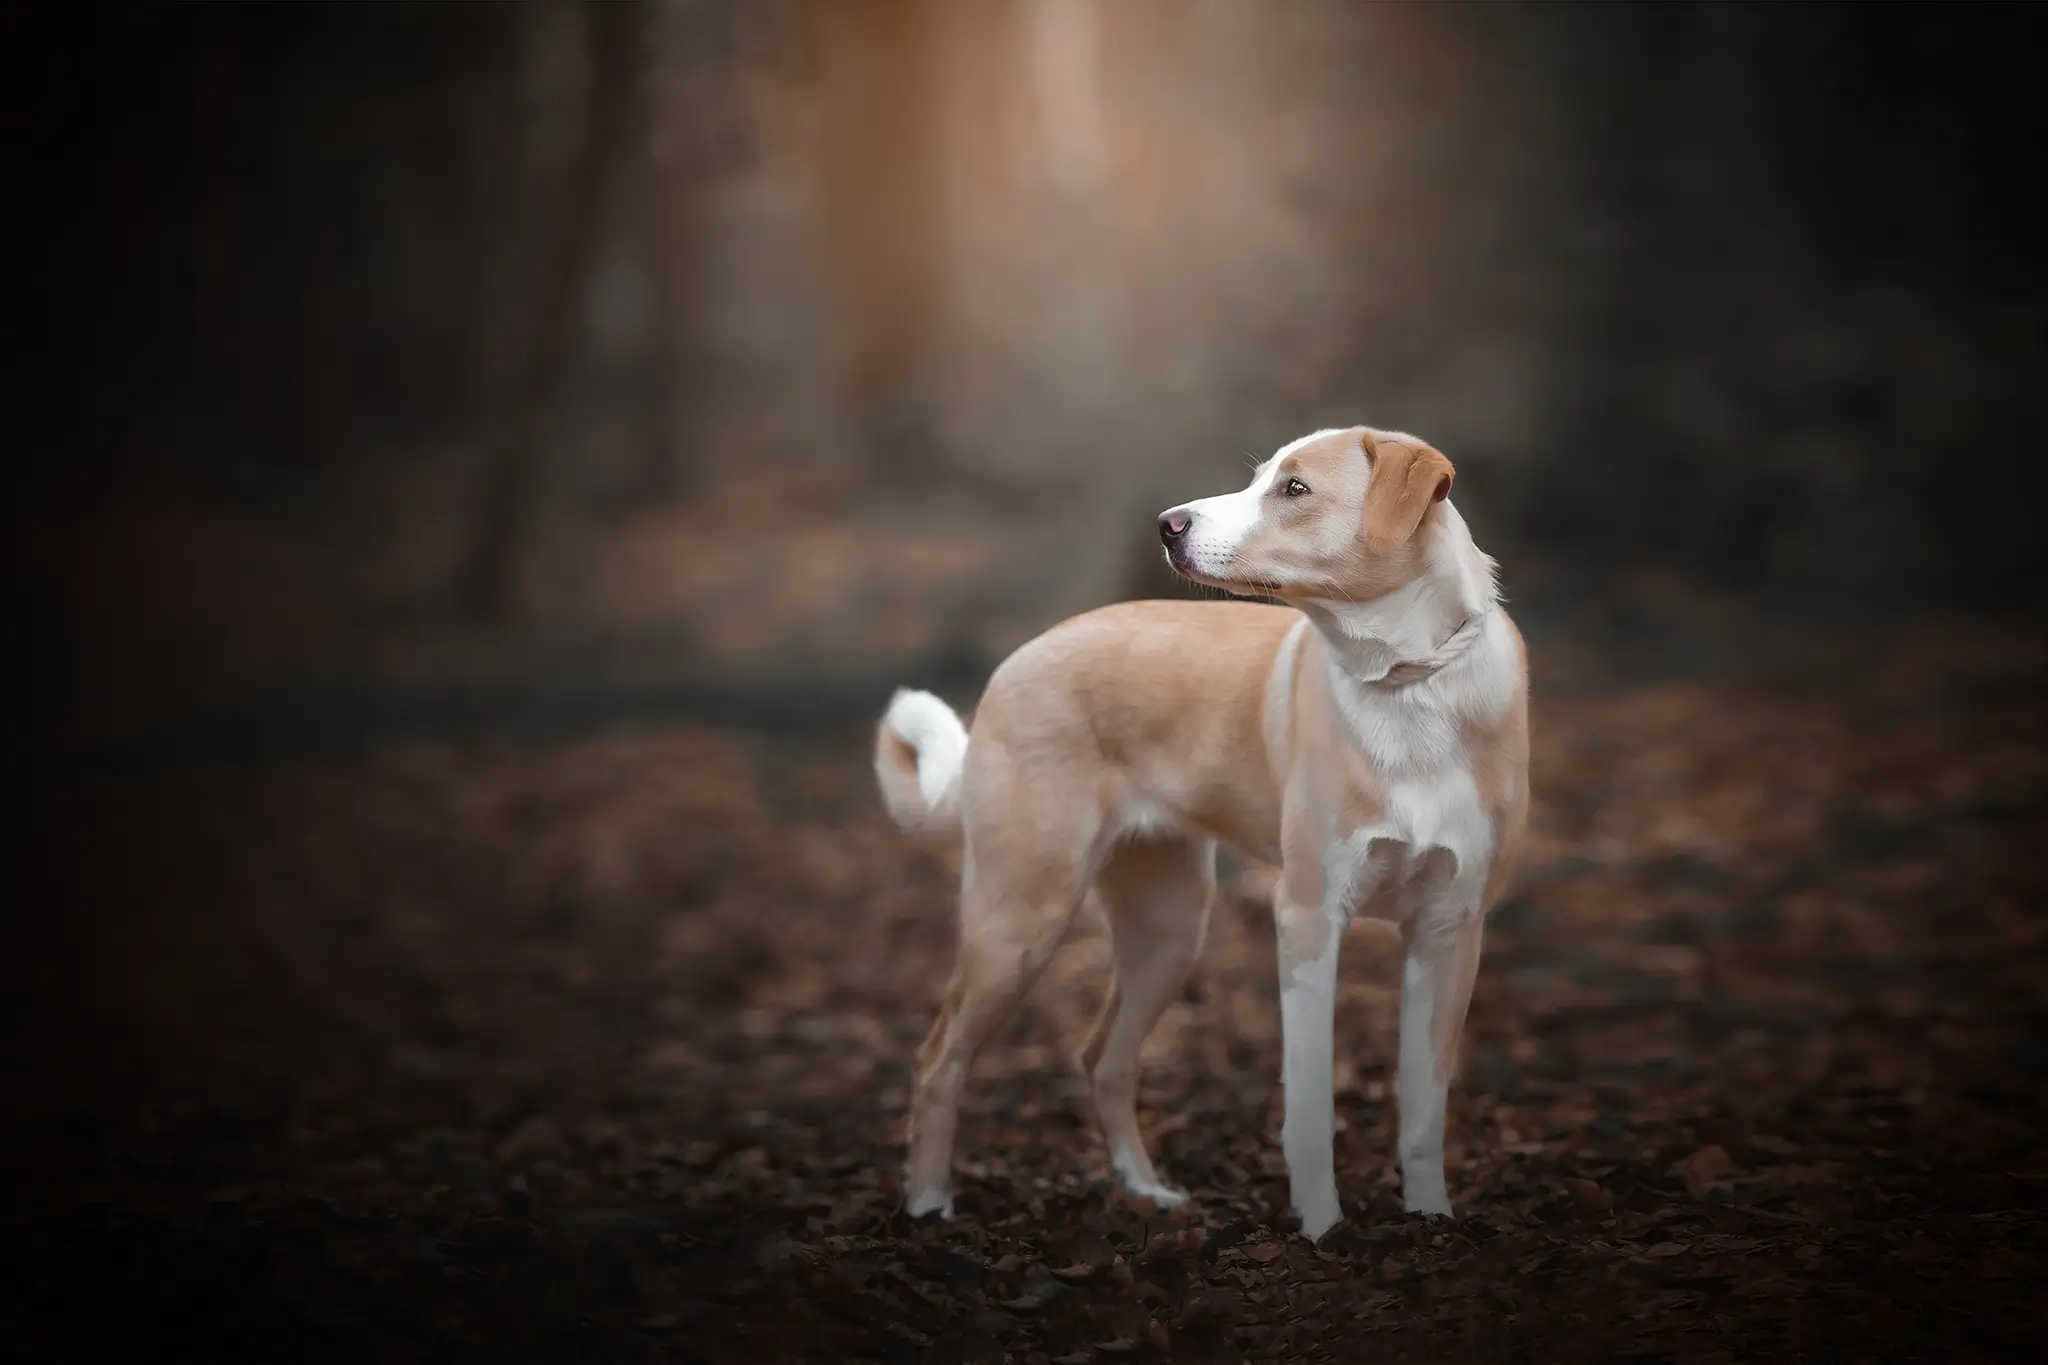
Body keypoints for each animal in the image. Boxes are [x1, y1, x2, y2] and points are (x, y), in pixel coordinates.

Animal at [872, 427, 1531, 1236]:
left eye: (1294, 488)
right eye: (1260, 478)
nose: (1166, 524)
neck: (1408, 688)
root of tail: (1017, 660)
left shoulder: (1450, 930)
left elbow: (1425, 1108)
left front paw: (1432, 1219)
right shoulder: (1309, 918)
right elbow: (1309, 1104)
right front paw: (1323, 1231)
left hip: (1169, 928)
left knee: (1103, 1057)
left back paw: (1144, 1194)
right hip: (1020, 917)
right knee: (939, 1059)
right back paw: (929, 1204)